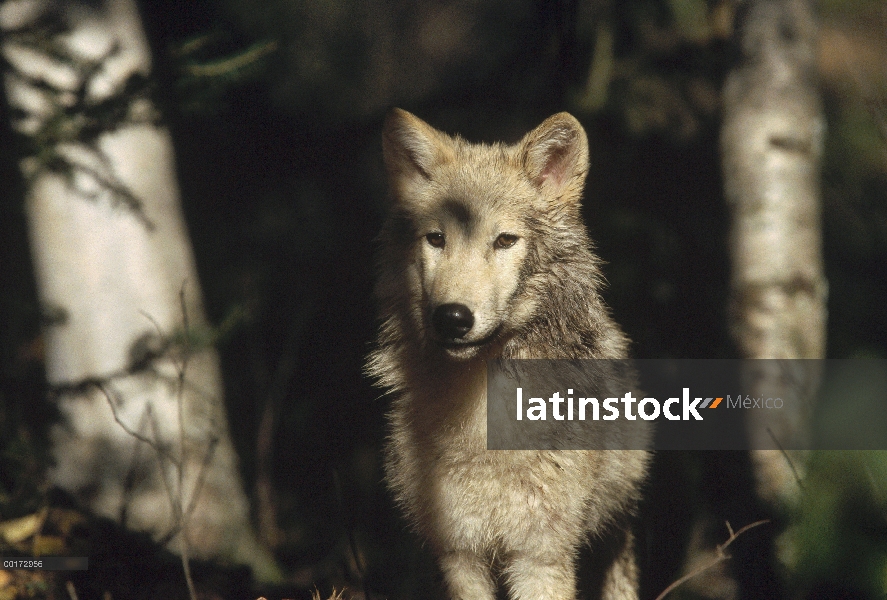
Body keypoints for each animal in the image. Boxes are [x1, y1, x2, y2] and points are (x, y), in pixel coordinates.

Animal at [368, 109, 652, 600]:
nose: (453, 317)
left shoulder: (541, 557)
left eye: (504, 241)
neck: (477, 415)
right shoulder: (458, 555)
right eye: (436, 239)